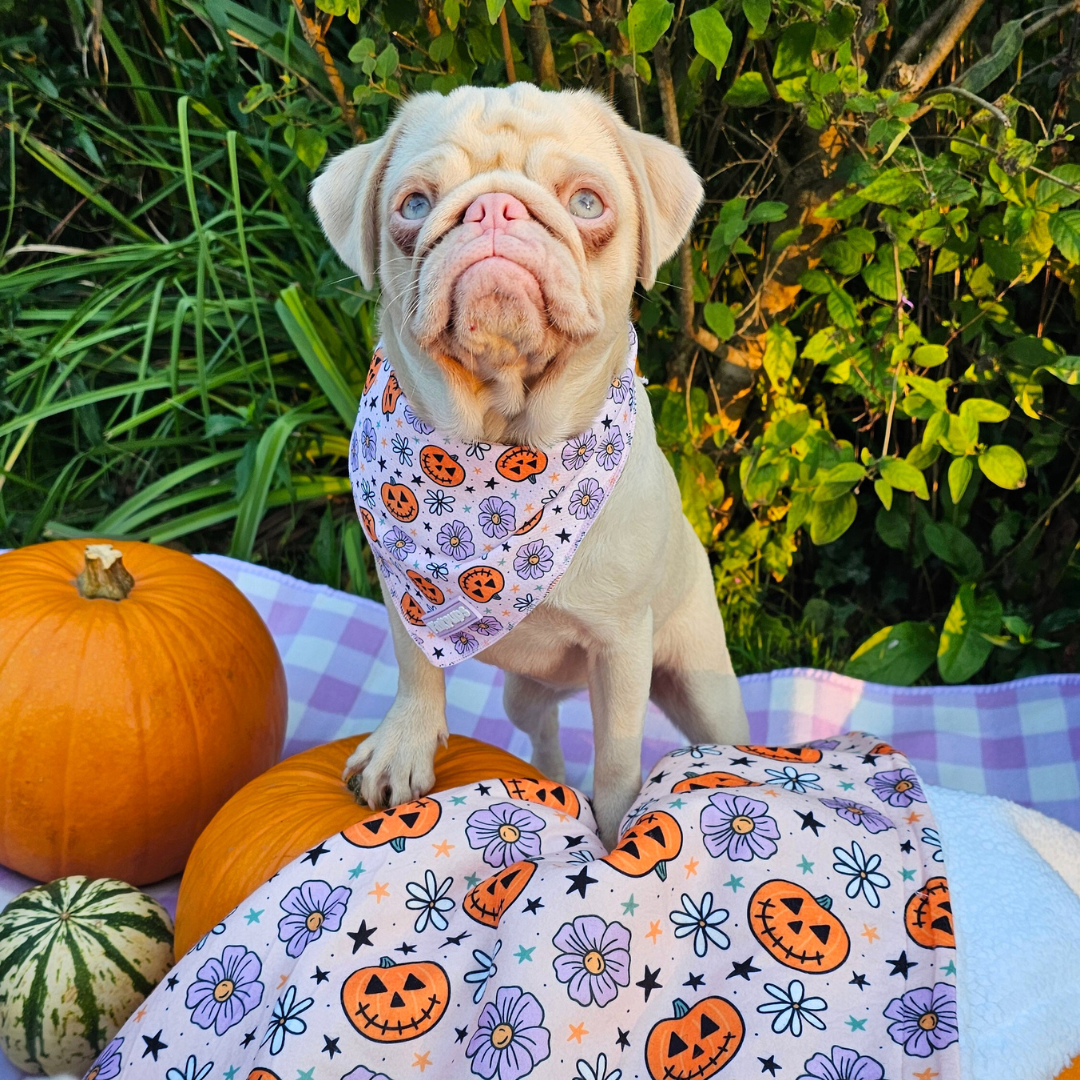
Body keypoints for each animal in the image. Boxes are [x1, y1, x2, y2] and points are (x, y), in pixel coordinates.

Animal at [313, 82, 747, 842]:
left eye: (588, 203)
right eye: (414, 206)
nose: (493, 207)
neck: (502, 450)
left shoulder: (621, 650)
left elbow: (617, 759)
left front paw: (614, 833)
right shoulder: (403, 597)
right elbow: (415, 670)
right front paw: (404, 745)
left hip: (700, 681)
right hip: (524, 691)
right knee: (540, 729)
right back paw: (551, 780)